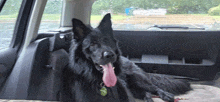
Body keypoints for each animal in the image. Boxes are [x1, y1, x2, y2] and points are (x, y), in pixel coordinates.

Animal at [61, 13, 192, 102]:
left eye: (107, 41)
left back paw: (165, 94)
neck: (101, 83)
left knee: (153, 87)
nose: (110, 55)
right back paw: (148, 98)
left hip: (137, 79)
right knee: (145, 92)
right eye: (92, 44)